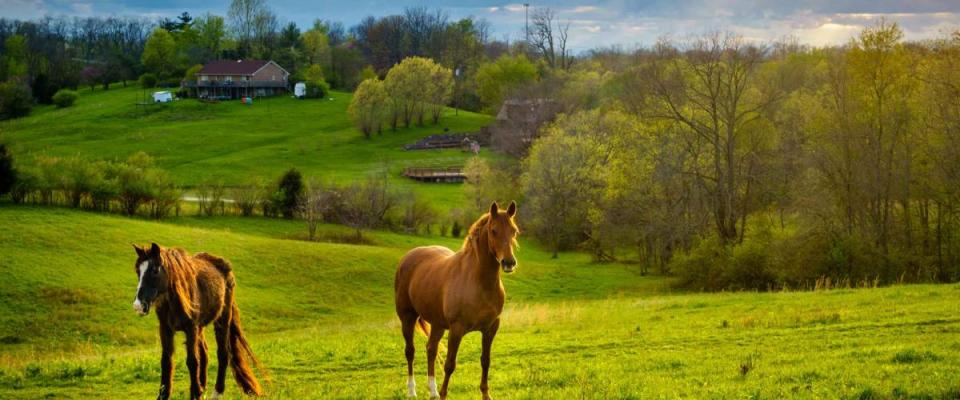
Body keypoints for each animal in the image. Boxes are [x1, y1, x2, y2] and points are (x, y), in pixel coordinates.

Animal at [131, 242, 264, 398]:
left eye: (155, 270)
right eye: (138, 271)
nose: (138, 306)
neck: (174, 299)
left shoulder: (191, 328)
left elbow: (192, 361)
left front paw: (195, 394)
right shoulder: (165, 329)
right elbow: (166, 361)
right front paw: (165, 395)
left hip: (222, 320)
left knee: (223, 353)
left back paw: (217, 392)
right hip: (201, 328)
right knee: (204, 353)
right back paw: (203, 388)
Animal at [396, 202, 520, 398]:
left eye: (514, 231)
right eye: (493, 231)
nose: (509, 263)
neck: (478, 282)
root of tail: (408, 257)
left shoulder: (490, 328)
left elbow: (485, 360)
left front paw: (486, 394)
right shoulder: (456, 329)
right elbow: (449, 365)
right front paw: (444, 394)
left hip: (438, 324)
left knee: (431, 349)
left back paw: (433, 392)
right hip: (407, 318)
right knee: (410, 352)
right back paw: (412, 391)